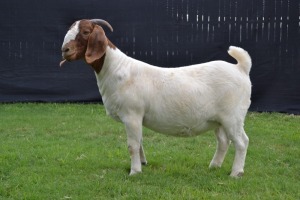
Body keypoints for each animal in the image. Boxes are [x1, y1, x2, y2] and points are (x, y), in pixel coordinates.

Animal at [59, 18, 252, 177]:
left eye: (85, 32)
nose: (64, 50)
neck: (116, 69)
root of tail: (241, 68)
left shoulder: (132, 115)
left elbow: (132, 145)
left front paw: (134, 172)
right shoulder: (137, 118)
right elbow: (139, 142)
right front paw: (143, 163)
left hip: (233, 116)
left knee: (242, 142)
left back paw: (236, 173)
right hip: (218, 120)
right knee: (223, 142)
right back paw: (214, 166)